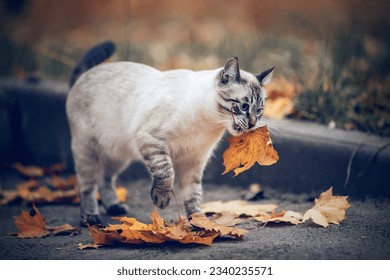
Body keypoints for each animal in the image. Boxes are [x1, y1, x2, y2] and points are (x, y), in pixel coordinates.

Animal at [66, 42, 274, 225]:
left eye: (259, 110)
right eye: (244, 106)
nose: (252, 124)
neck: (210, 124)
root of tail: (84, 75)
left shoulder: (193, 161)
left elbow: (193, 196)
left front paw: (200, 222)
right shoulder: (151, 140)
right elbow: (166, 173)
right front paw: (162, 199)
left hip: (117, 156)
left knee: (106, 180)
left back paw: (114, 207)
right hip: (88, 152)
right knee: (88, 187)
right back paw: (90, 217)